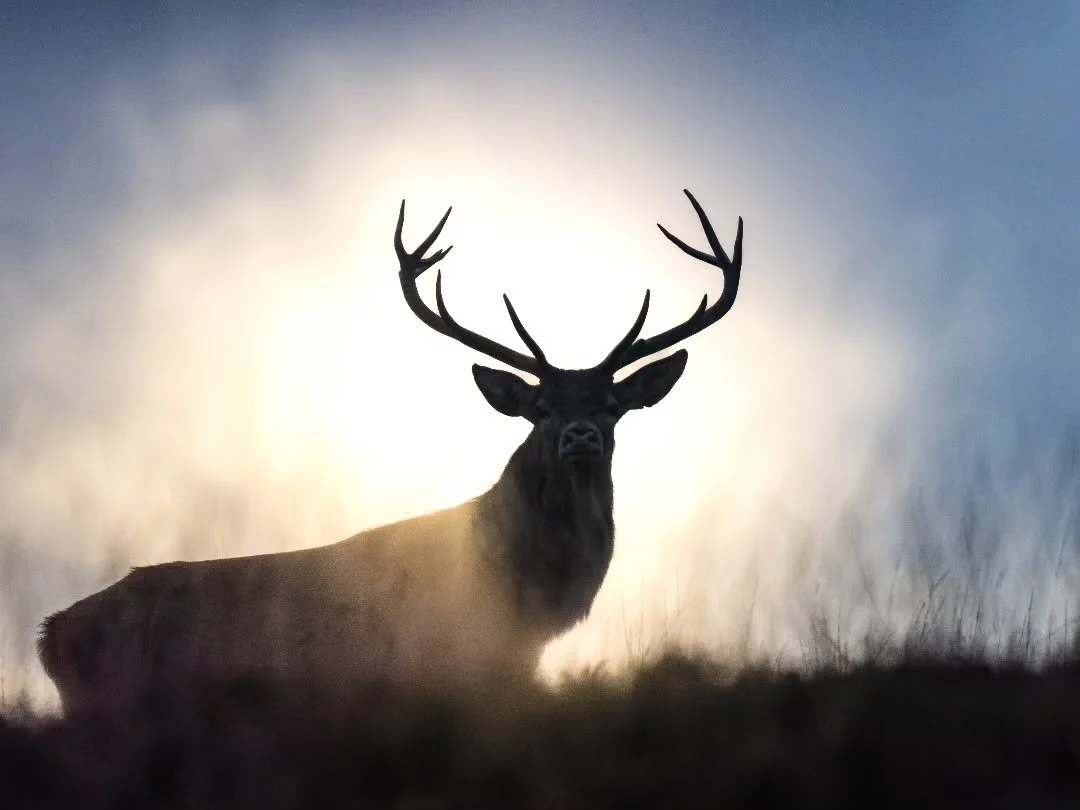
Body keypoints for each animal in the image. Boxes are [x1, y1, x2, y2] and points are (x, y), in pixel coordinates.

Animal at [37, 190, 745, 717]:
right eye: (541, 408)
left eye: (612, 405)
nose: (580, 436)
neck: (521, 605)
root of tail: (50, 636)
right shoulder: (429, 667)